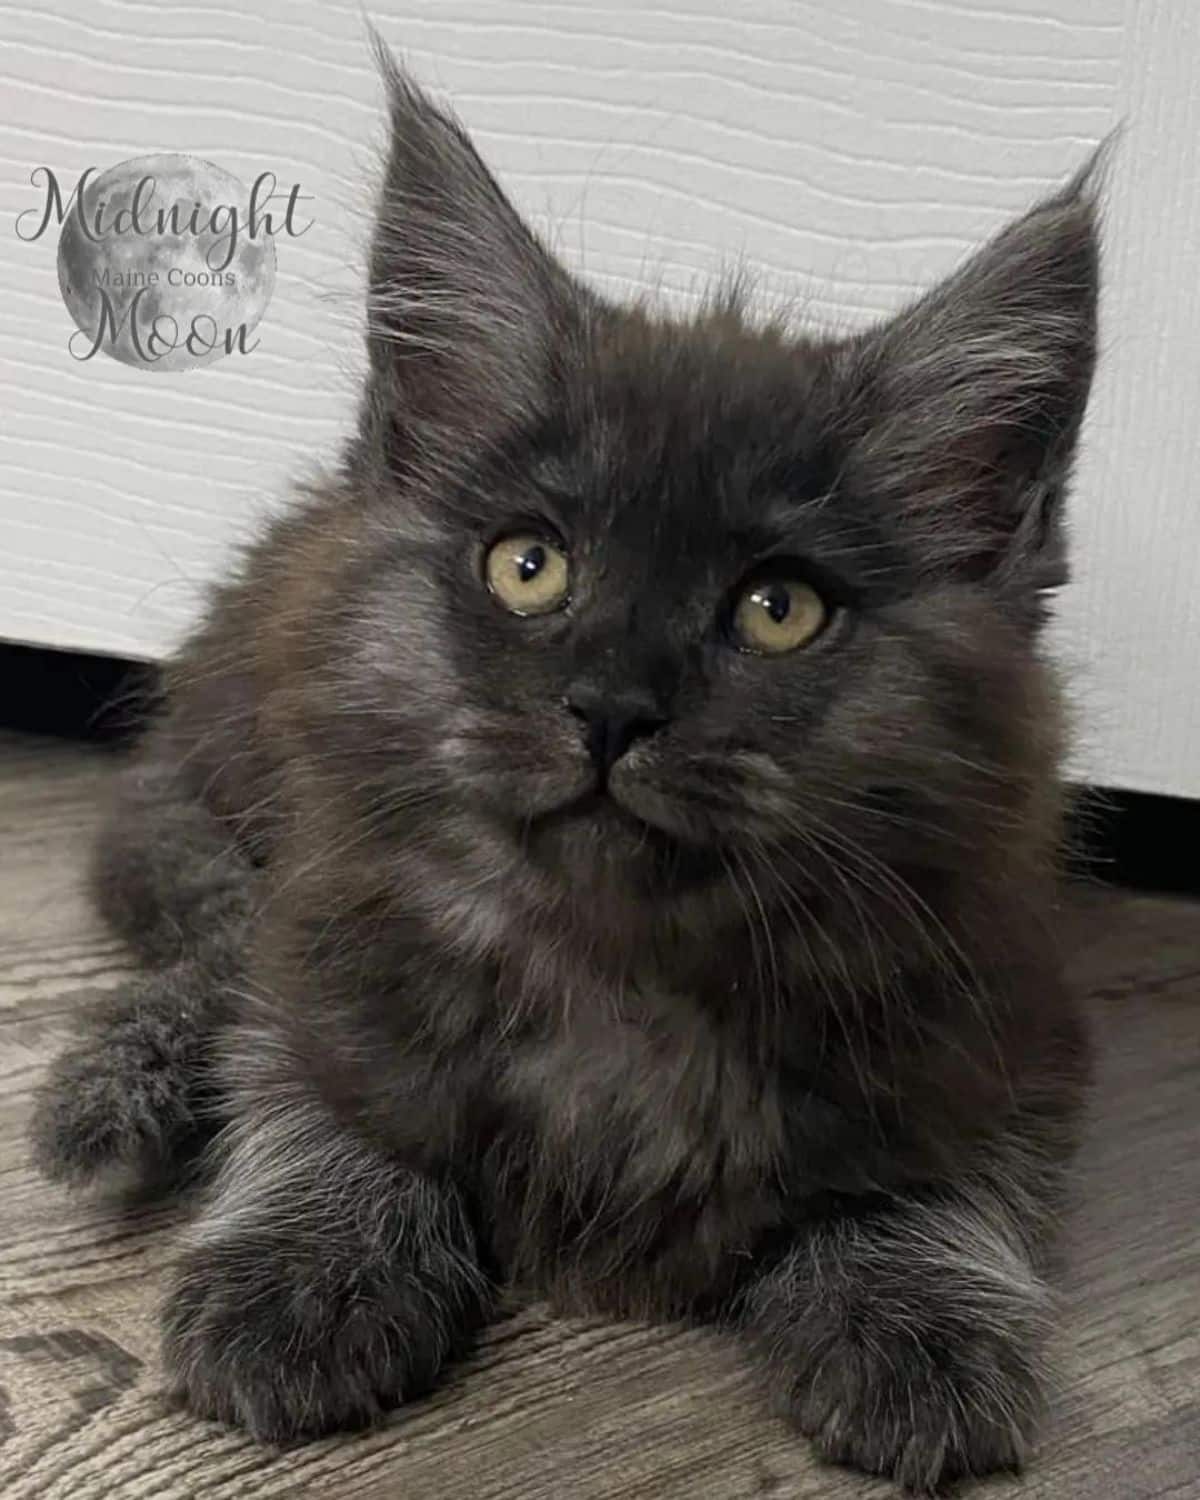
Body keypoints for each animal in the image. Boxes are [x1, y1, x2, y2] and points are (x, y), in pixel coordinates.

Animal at [28, 41, 1098, 1494]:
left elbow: (950, 1172)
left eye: (780, 610)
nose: (610, 710)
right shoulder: (329, 928)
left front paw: (916, 1313)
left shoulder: (1008, 989)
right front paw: (305, 1260)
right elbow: (306, 1079)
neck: (621, 976)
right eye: (528, 566)